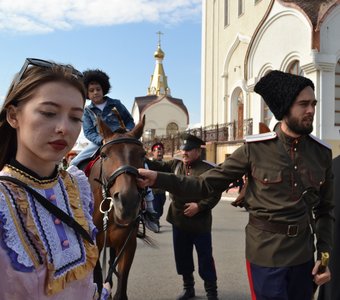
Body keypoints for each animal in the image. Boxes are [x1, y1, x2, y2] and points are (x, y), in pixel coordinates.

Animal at [87, 116, 146, 298]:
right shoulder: (95, 245)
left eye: (143, 154)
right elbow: (97, 281)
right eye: (104, 155)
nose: (128, 201)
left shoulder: (129, 245)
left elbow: (121, 289)